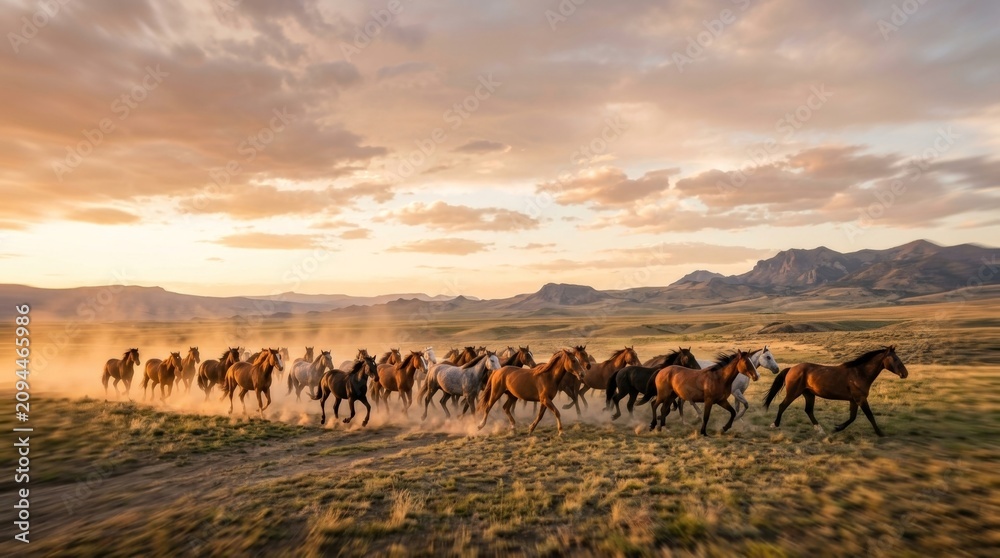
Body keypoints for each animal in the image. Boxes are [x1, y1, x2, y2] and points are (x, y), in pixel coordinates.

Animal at [764, 346, 908, 436]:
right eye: (895, 359)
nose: (905, 374)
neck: (860, 373)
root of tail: (791, 368)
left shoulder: (854, 400)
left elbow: (852, 417)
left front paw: (837, 428)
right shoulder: (861, 399)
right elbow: (870, 416)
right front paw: (880, 433)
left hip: (809, 394)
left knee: (808, 410)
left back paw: (820, 430)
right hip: (794, 393)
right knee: (782, 406)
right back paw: (774, 424)